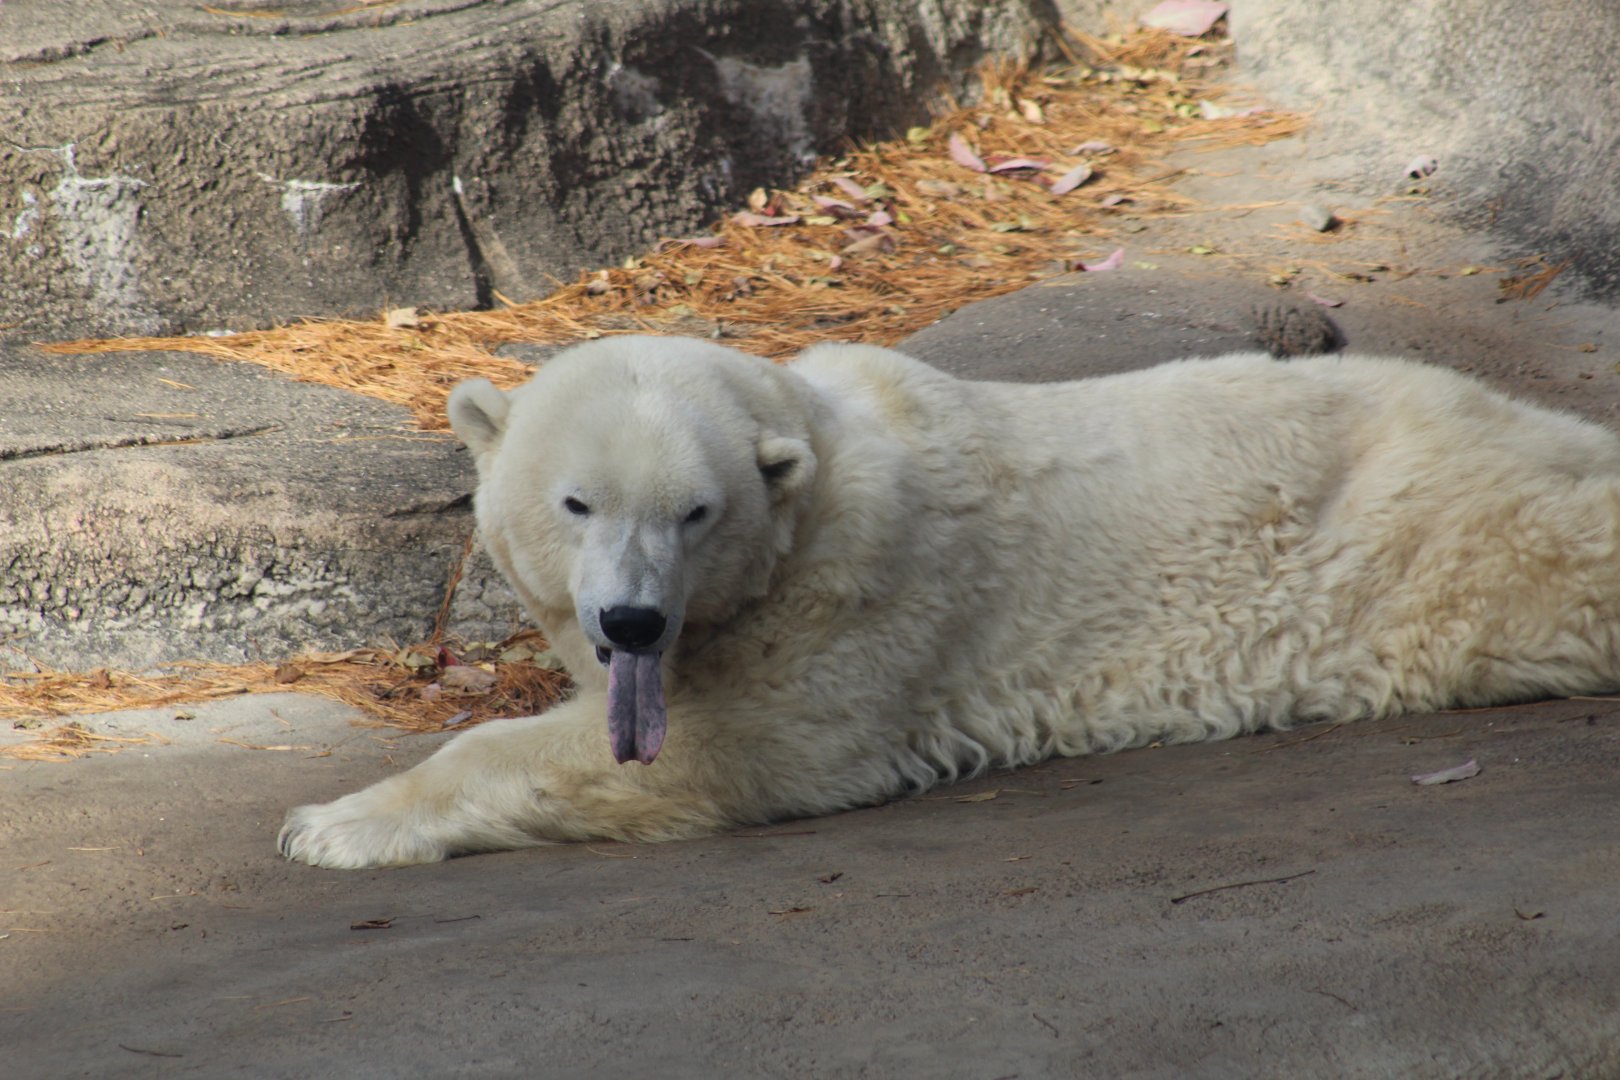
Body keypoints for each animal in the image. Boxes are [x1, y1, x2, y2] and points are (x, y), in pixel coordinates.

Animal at [279, 335, 1620, 868]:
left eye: (695, 512)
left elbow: (728, 751)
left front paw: (330, 824)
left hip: (1424, 541)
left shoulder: (857, 605)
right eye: (576, 503)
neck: (817, 463)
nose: (633, 625)